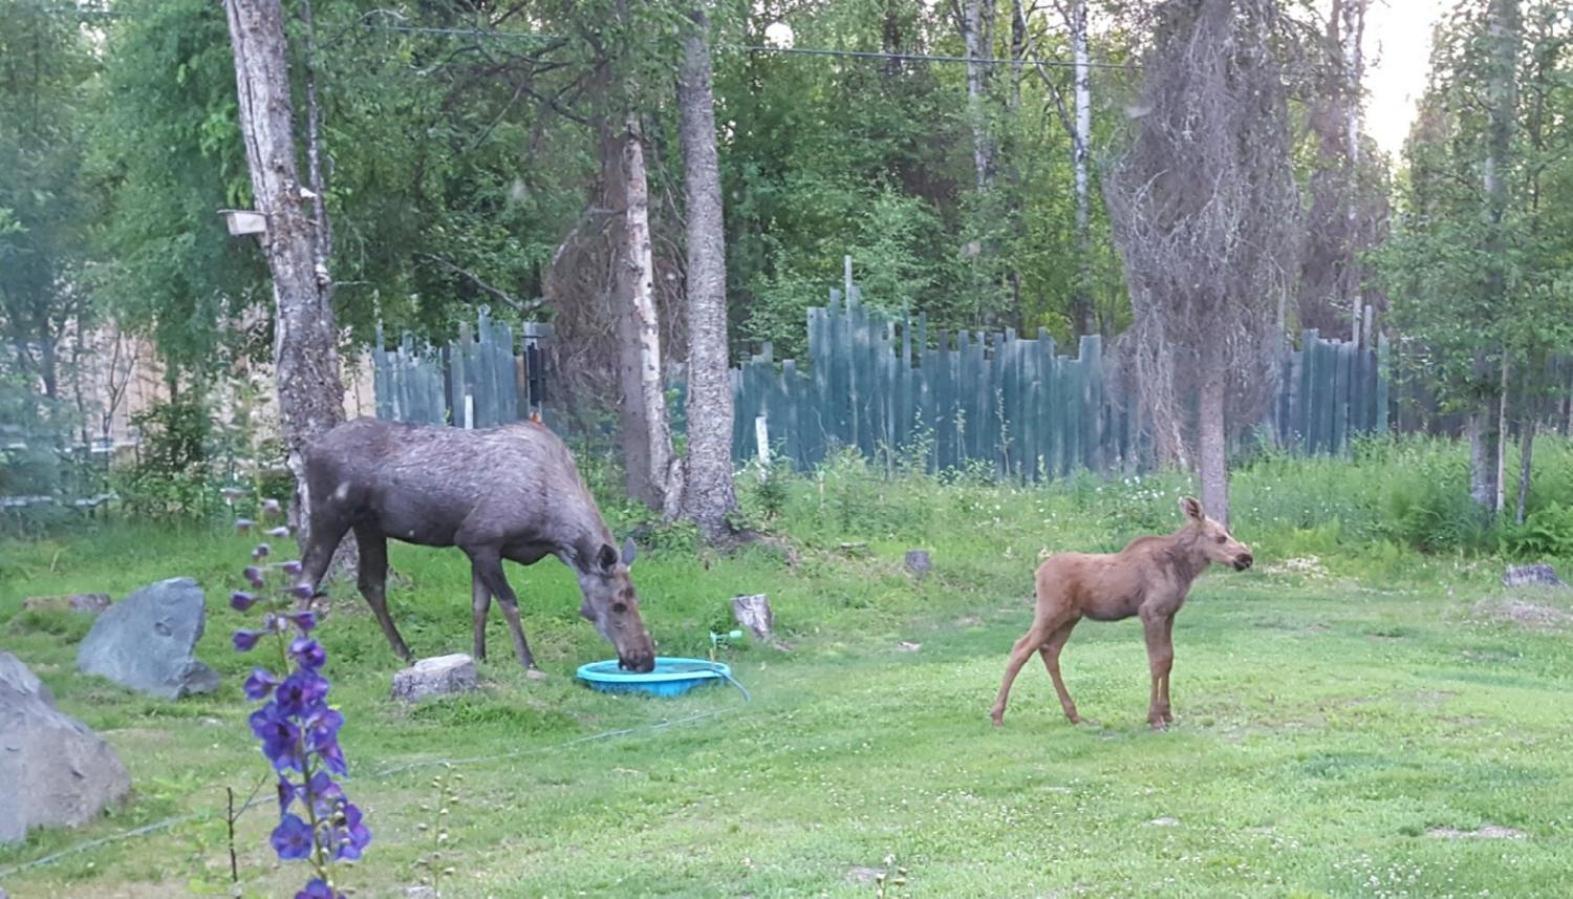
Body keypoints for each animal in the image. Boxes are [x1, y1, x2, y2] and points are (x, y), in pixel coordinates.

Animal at [295, 418, 657, 669]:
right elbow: (508, 602)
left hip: (369, 526)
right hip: (331, 513)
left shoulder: (478, 548)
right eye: (618, 604)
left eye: (636, 597)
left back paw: (405, 653)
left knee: (370, 583)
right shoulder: (479, 540)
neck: (550, 529)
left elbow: (479, 605)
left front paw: (480, 657)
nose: (644, 659)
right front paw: (528, 662)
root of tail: (309, 450)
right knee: (307, 578)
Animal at [994, 499, 1252, 729]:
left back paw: (1074, 715)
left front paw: (1167, 713)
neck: (1184, 570)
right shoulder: (1150, 612)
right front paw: (1154, 717)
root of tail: (1037, 573)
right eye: (1220, 537)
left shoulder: (1169, 613)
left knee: (1049, 651)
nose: (1246, 558)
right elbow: (1157, 661)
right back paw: (997, 714)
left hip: (1070, 618)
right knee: (1021, 647)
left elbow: (1168, 659)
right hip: (1050, 611)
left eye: (1228, 533)